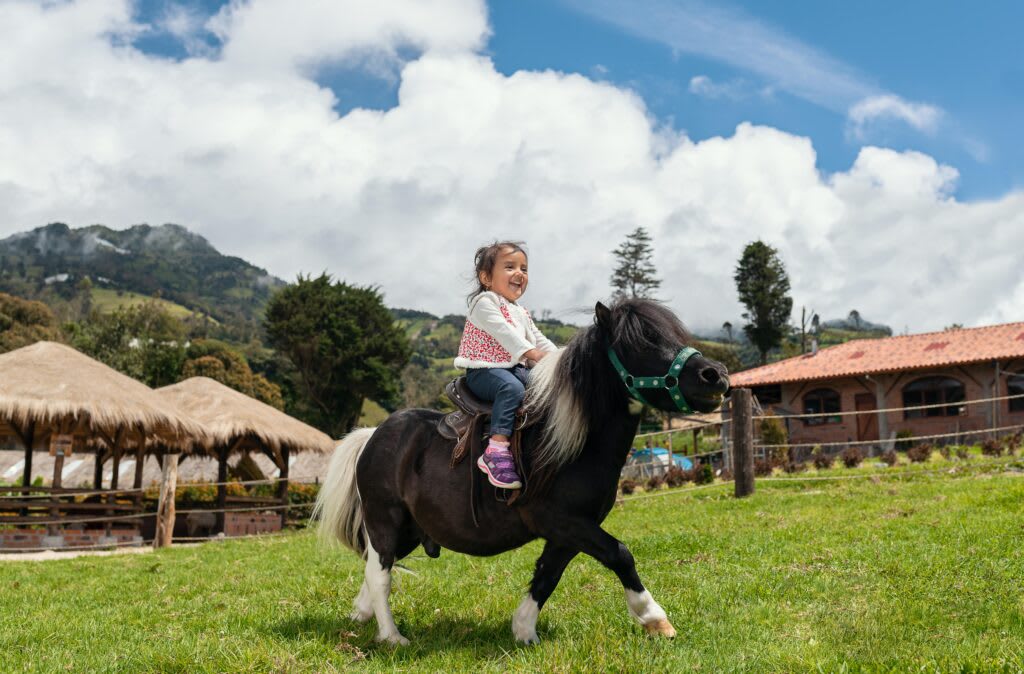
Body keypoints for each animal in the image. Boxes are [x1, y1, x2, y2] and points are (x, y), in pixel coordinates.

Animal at [315, 297, 733, 639]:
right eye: (643, 340)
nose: (716, 375)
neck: (571, 441)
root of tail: (373, 436)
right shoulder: (563, 521)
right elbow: (620, 554)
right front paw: (654, 618)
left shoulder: (569, 530)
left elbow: (548, 575)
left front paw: (523, 629)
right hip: (384, 519)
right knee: (380, 575)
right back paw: (391, 636)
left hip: (411, 530)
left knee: (375, 569)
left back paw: (361, 615)